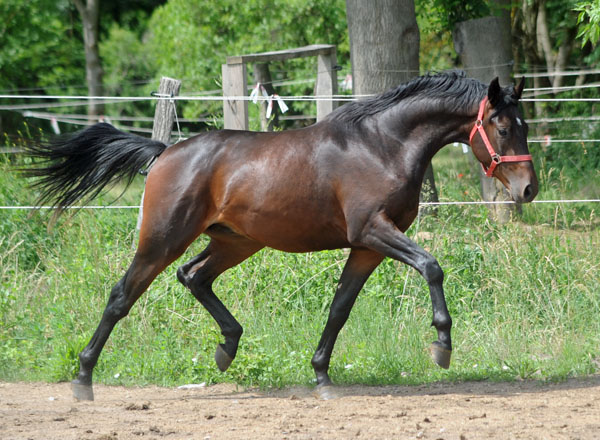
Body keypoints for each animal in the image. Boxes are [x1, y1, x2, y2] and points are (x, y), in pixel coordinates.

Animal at [24, 71, 540, 398]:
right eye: (501, 126)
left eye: (525, 125)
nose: (528, 189)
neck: (382, 145)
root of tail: (165, 152)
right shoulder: (374, 230)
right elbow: (432, 266)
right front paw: (442, 346)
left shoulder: (366, 247)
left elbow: (339, 308)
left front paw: (322, 376)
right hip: (163, 239)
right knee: (121, 296)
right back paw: (83, 380)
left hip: (235, 240)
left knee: (194, 276)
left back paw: (227, 347)